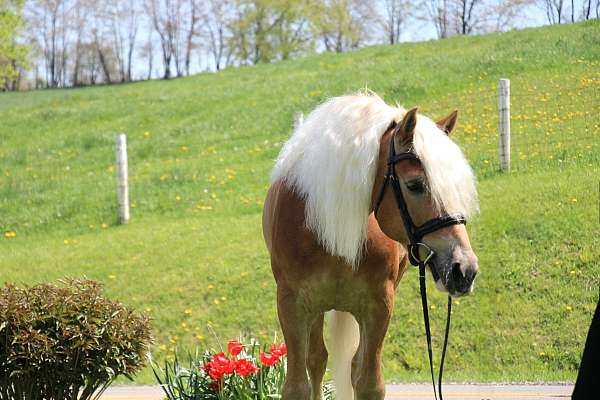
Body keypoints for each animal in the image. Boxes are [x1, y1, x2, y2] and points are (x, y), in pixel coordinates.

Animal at [262, 92, 478, 398]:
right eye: (414, 184)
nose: (465, 269)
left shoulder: (378, 305)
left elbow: (369, 383)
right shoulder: (292, 307)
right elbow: (297, 386)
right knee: (317, 360)